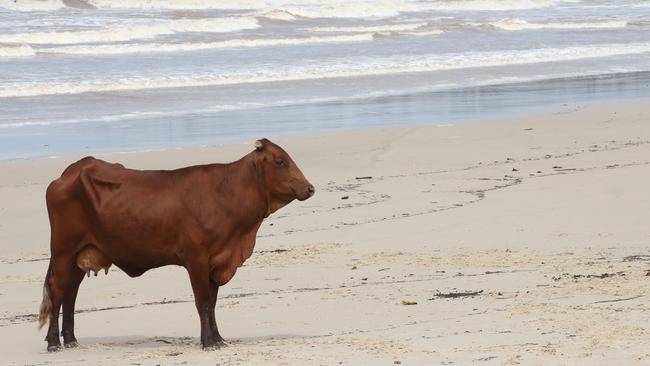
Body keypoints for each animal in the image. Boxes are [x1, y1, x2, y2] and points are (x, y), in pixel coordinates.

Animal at [36, 138, 316, 352]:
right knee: (58, 290)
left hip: (80, 254)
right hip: (63, 250)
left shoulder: (216, 261)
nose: (310, 188)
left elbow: (212, 303)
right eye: (280, 161)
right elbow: (203, 302)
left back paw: (71, 340)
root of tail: (72, 170)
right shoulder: (196, 260)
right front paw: (208, 343)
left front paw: (218, 339)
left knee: (70, 293)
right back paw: (54, 343)